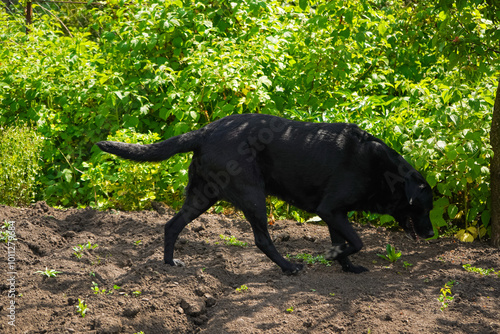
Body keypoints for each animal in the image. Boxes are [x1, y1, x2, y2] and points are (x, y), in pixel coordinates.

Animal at [97, 114, 434, 274]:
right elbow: (357, 241)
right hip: (252, 195)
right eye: (423, 206)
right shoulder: (330, 209)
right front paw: (332, 257)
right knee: (262, 240)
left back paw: (170, 264)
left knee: (171, 225)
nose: (431, 234)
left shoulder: (334, 213)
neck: (379, 167)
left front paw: (347, 266)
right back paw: (289, 267)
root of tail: (205, 130)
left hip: (203, 196)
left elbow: (344, 243)